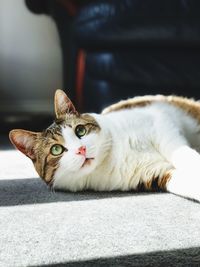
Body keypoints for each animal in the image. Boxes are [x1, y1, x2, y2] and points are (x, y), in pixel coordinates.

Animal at [9, 89, 200, 202]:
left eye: (80, 130)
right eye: (56, 150)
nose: (81, 150)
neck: (112, 157)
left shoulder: (161, 125)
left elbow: (182, 154)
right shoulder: (155, 172)